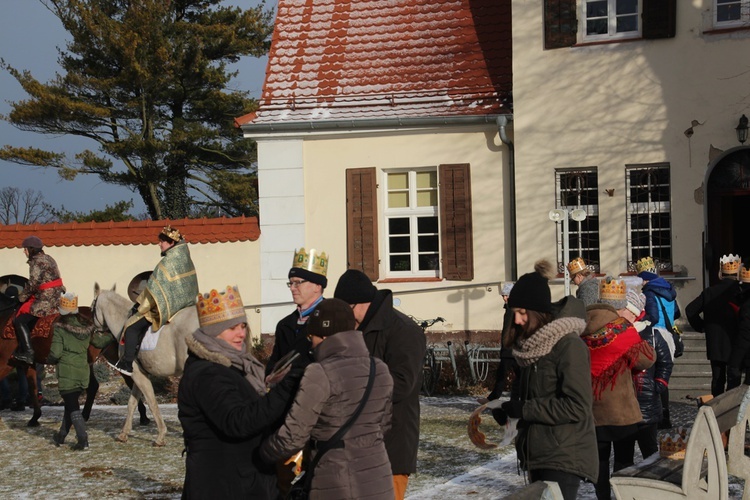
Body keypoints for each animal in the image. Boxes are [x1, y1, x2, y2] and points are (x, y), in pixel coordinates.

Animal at [0, 290, 148, 426]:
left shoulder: (5, 362)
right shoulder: (27, 364)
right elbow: (33, 388)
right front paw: (35, 417)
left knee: (94, 386)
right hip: (110, 356)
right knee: (127, 380)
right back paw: (142, 415)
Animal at [91, 284, 198, 448]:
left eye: (92, 307)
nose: (95, 332)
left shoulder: (137, 374)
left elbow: (151, 402)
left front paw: (160, 436)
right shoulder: (138, 374)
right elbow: (132, 403)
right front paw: (123, 434)